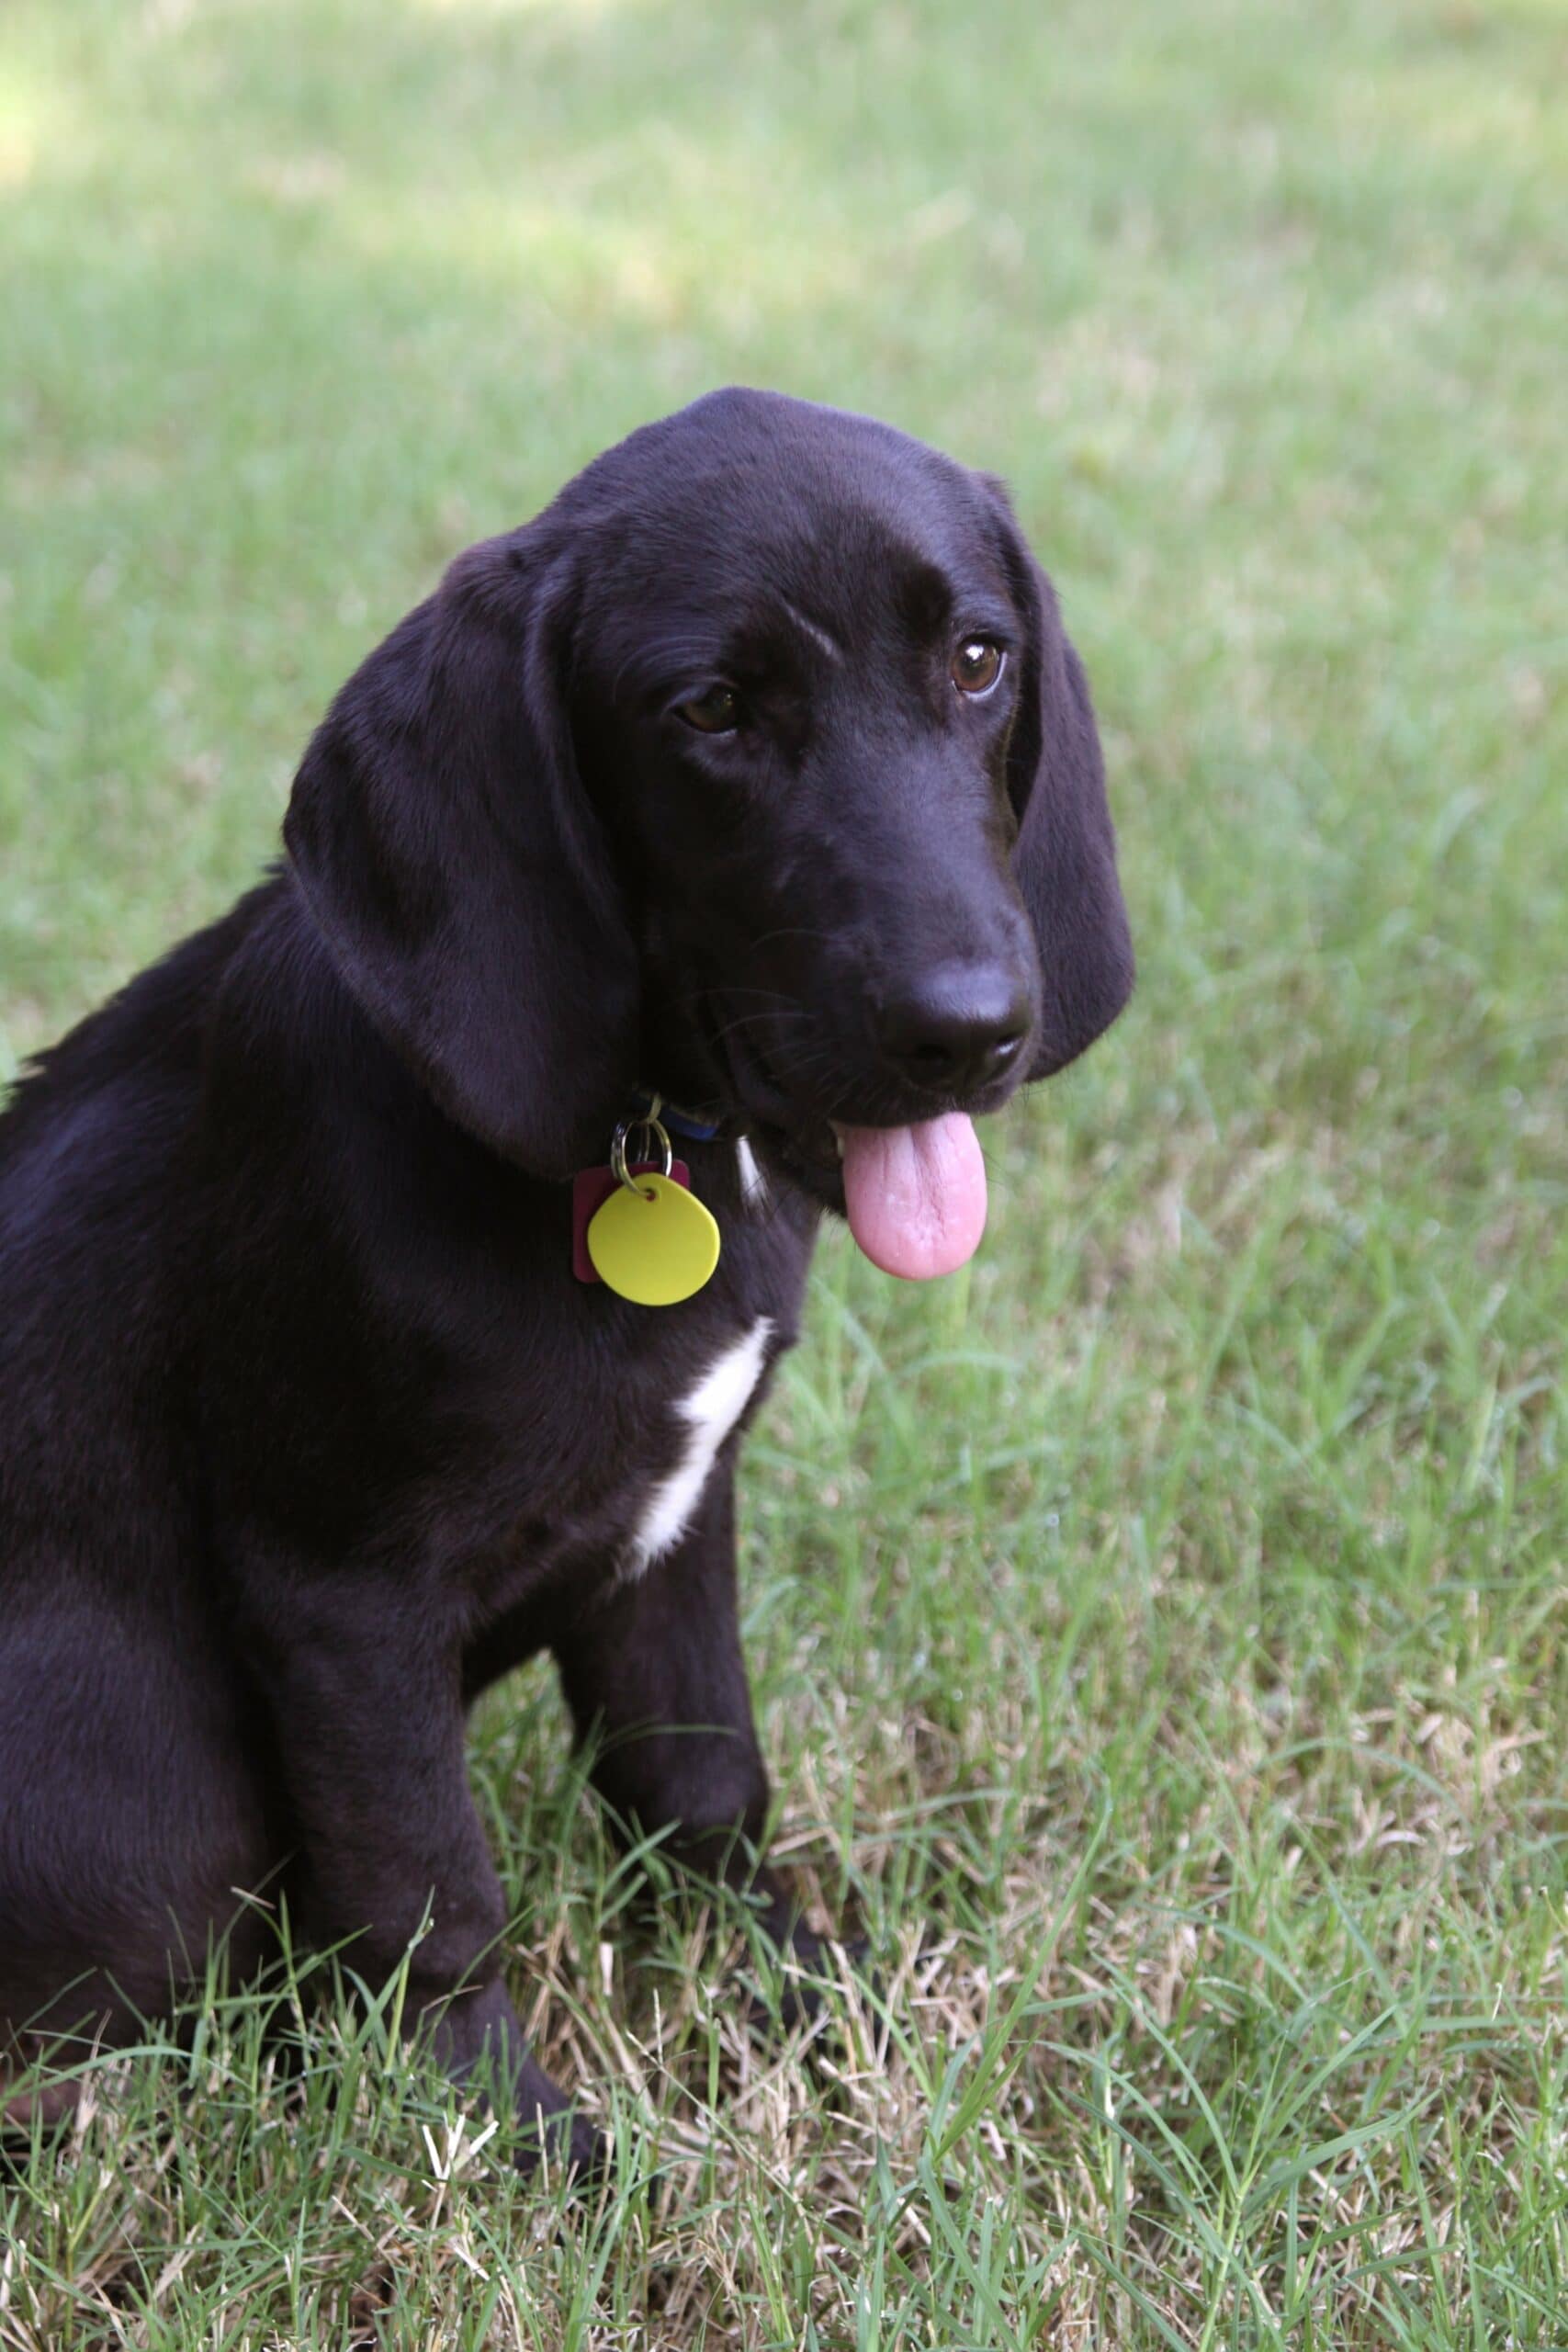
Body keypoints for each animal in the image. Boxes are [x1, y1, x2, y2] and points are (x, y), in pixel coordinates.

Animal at [0, 390, 1128, 2164]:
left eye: (973, 660)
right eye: (709, 710)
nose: (967, 1031)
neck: (656, 1143)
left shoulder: (671, 1524)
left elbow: (700, 1784)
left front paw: (790, 1982)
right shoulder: (337, 1594)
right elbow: (423, 1892)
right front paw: (508, 2142)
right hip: (142, 1780)